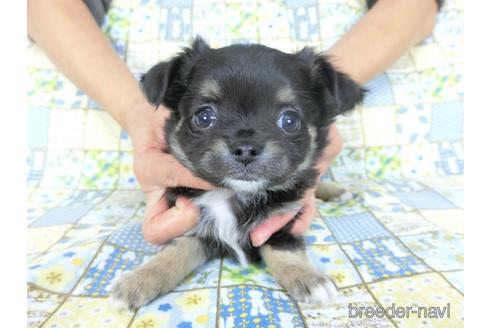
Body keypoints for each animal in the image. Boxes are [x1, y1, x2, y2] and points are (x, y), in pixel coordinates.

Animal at [111, 37, 366, 310]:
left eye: (289, 121)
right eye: (204, 117)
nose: (245, 148)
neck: (233, 194)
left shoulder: (283, 220)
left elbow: (284, 249)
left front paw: (307, 278)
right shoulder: (194, 223)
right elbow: (175, 250)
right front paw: (139, 279)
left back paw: (337, 191)